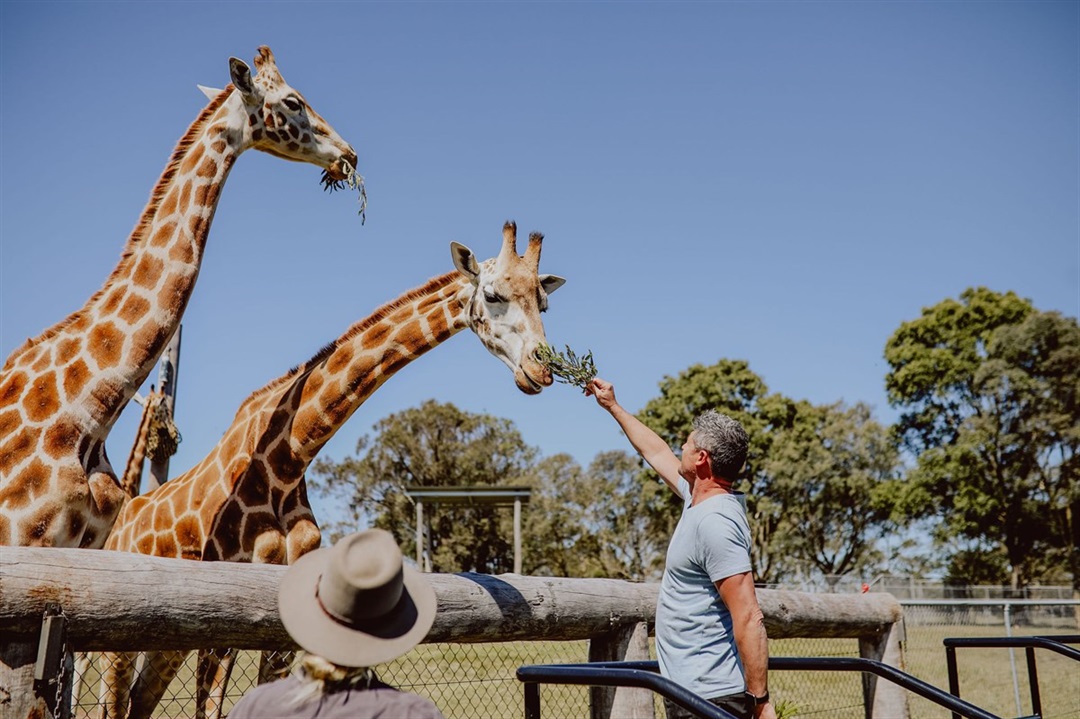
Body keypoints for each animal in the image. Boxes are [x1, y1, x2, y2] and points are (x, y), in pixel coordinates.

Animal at [103, 220, 565, 716]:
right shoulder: (223, 614)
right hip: (123, 641)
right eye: (494, 294)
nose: (542, 371)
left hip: (167, 643)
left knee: (138, 702)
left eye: (544, 302)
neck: (288, 462)